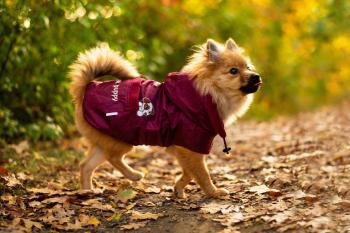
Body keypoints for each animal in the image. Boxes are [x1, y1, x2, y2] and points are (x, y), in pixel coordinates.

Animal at [69, 38, 260, 198]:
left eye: (248, 67)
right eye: (234, 71)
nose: (256, 76)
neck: (209, 95)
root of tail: (86, 89)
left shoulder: (181, 147)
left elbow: (189, 173)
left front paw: (178, 189)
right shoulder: (190, 146)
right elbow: (201, 173)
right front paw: (213, 192)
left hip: (106, 141)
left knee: (86, 165)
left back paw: (87, 192)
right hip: (122, 139)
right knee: (112, 158)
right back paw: (133, 175)